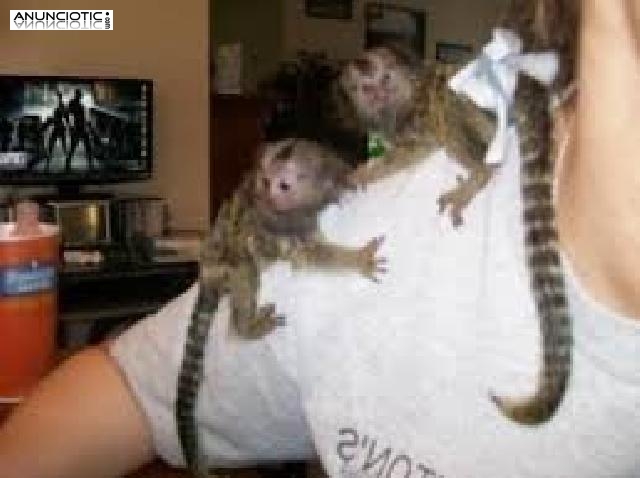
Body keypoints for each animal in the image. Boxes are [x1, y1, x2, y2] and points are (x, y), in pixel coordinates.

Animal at [175, 138, 386, 477]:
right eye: (266, 181)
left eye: (284, 185)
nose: (270, 195)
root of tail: (206, 269)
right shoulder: (282, 224)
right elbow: (306, 255)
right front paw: (358, 260)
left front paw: (354, 179)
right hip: (226, 266)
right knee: (246, 267)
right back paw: (247, 327)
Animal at [335, 45, 497, 226]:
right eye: (368, 89)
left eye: (385, 79)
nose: (381, 95)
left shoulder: (417, 113)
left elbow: (419, 146)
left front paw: (365, 174)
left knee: (447, 103)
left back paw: (480, 175)